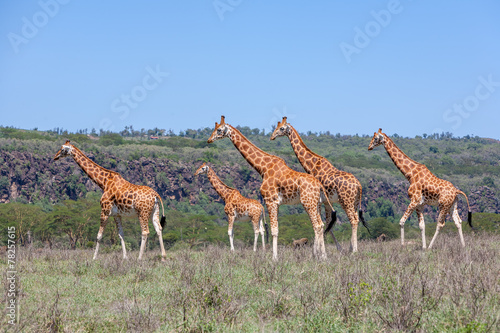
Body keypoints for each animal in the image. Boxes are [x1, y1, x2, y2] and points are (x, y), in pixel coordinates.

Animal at [207, 116, 336, 260]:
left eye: (219, 130)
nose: (209, 140)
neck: (262, 168)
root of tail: (319, 185)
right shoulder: (276, 203)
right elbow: (276, 229)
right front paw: (274, 256)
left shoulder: (270, 200)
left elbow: (274, 230)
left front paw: (274, 258)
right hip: (316, 203)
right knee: (320, 225)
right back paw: (321, 255)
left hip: (308, 202)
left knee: (317, 225)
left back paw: (319, 256)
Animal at [270, 116, 372, 252]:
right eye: (275, 127)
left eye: (281, 128)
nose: (272, 136)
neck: (312, 165)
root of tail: (359, 186)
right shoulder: (325, 201)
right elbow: (327, 223)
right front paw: (337, 248)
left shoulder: (319, 200)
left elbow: (322, 223)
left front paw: (320, 249)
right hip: (354, 202)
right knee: (356, 218)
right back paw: (351, 248)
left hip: (345, 200)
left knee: (354, 220)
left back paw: (353, 250)